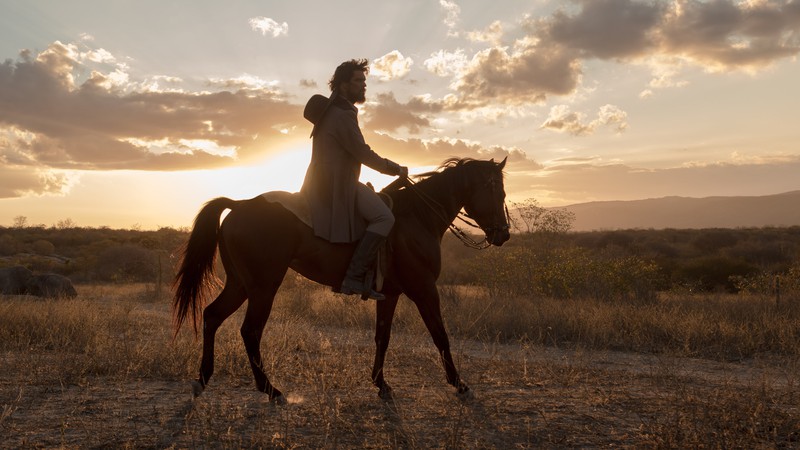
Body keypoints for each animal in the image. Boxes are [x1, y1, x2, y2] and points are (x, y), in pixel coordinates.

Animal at [173, 156, 512, 402]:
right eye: (497, 191)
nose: (504, 235)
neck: (417, 217)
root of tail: (239, 204)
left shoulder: (390, 294)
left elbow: (382, 337)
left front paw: (382, 384)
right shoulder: (425, 290)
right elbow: (440, 336)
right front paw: (460, 384)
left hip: (240, 284)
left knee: (212, 316)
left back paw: (203, 380)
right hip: (263, 288)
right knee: (250, 331)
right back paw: (271, 390)